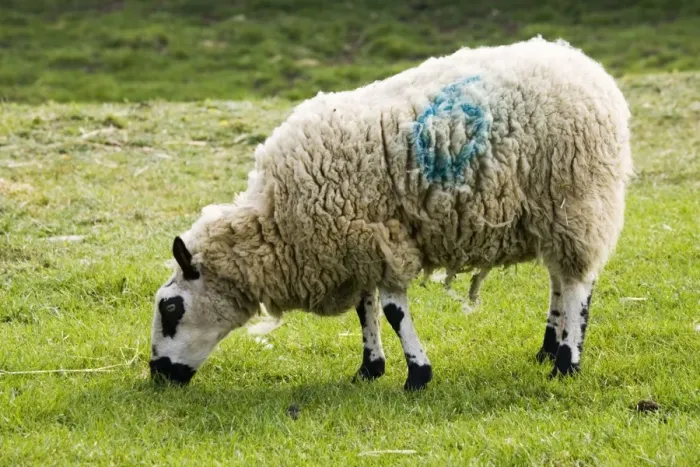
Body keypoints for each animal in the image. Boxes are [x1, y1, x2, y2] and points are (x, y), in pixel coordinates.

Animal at [149, 36, 633, 390]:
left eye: (170, 308)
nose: (156, 374)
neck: (275, 225)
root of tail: (582, 63)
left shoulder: (382, 241)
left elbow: (393, 311)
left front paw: (417, 374)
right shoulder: (357, 243)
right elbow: (366, 310)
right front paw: (369, 368)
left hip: (576, 197)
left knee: (577, 283)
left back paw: (566, 362)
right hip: (550, 213)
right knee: (559, 279)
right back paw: (549, 346)